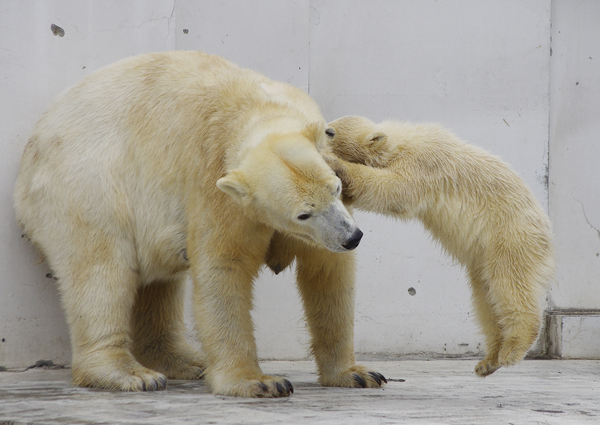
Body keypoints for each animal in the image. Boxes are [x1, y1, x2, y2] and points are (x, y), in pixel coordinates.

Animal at [15, 51, 384, 396]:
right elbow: (224, 267)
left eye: (336, 188)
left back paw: (184, 361)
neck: (254, 108)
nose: (353, 237)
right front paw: (260, 382)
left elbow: (328, 273)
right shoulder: (215, 183)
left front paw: (357, 373)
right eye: (302, 214)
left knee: (158, 283)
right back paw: (131, 374)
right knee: (101, 272)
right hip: (89, 186)